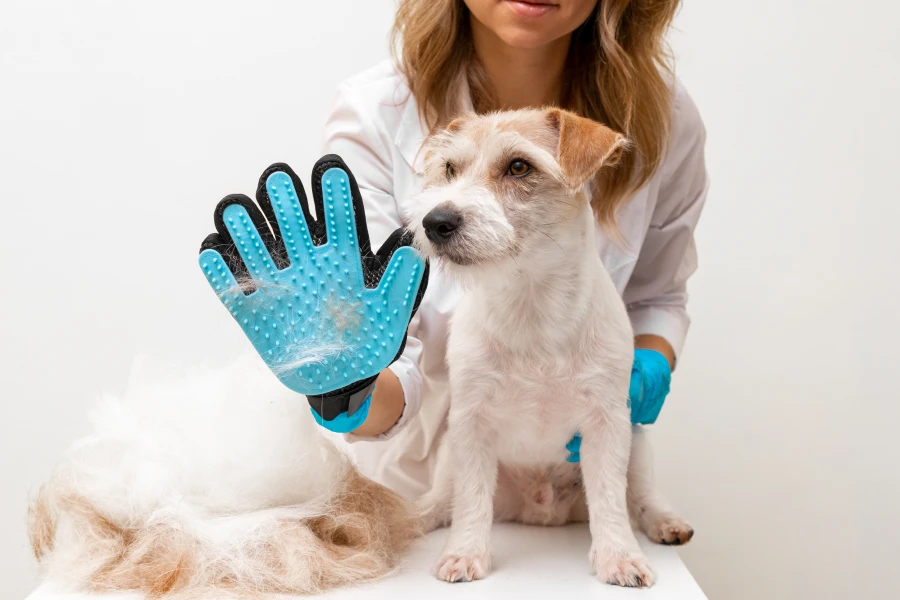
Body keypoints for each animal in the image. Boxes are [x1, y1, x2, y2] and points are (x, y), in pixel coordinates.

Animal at [408, 106, 696, 584]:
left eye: (518, 166)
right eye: (450, 169)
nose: (435, 222)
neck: (531, 303)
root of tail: (541, 512)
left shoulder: (607, 423)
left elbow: (610, 499)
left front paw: (619, 557)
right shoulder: (470, 423)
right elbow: (470, 500)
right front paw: (465, 553)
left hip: (637, 439)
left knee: (640, 497)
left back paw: (665, 521)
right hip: (451, 453)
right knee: (444, 500)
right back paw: (412, 515)